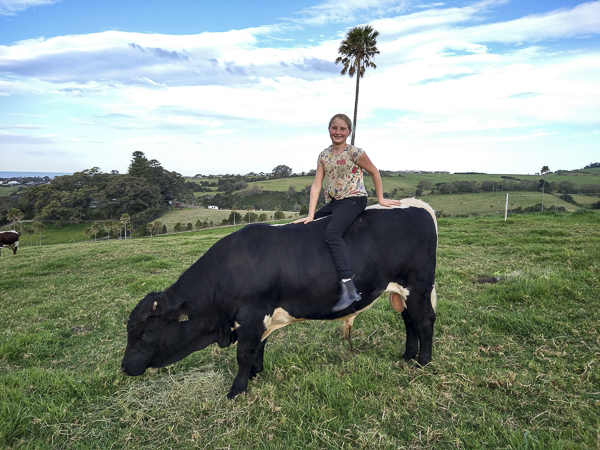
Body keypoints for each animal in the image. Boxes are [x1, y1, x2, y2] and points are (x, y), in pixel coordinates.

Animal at [123, 197, 440, 398]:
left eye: (146, 332)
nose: (125, 367)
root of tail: (418, 205)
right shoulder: (258, 319)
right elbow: (258, 348)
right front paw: (255, 374)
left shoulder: (251, 315)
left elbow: (244, 353)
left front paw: (237, 389)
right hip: (402, 291)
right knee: (409, 321)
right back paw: (407, 355)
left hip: (418, 287)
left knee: (424, 321)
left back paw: (422, 361)